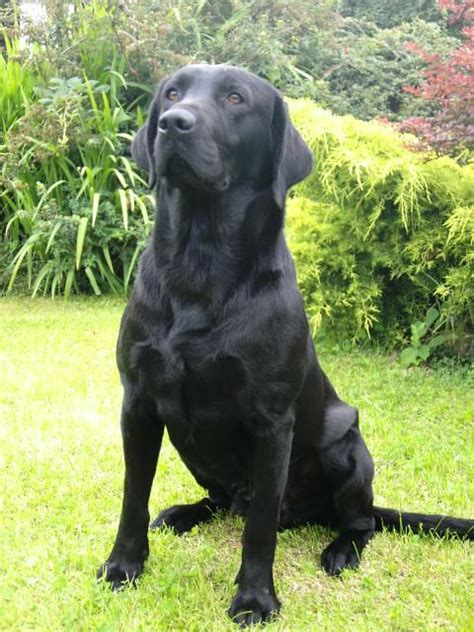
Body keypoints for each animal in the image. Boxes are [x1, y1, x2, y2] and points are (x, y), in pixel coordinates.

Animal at [97, 65, 474, 628]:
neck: (201, 263)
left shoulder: (272, 422)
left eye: (235, 98)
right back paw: (185, 513)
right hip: (192, 448)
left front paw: (255, 600)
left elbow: (258, 530)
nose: (173, 123)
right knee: (224, 501)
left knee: (358, 522)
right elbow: (132, 496)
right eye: (172, 93)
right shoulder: (138, 403)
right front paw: (123, 567)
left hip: (348, 447)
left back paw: (341, 549)